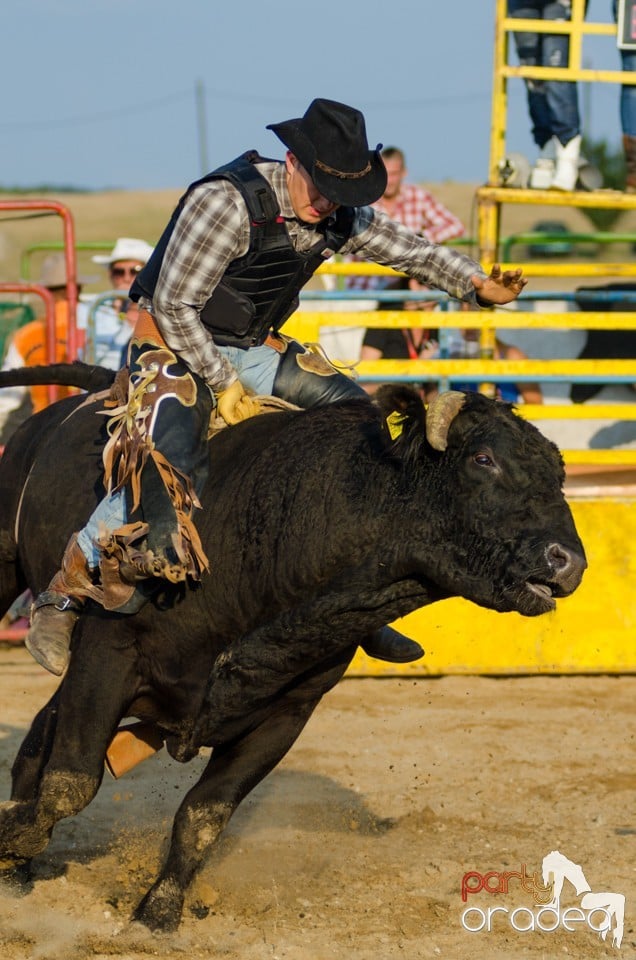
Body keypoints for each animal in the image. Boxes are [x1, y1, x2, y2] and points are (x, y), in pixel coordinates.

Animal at [0, 370, 588, 928]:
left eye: (558, 476)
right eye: (483, 459)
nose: (568, 562)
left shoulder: (287, 713)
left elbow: (203, 816)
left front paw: (158, 913)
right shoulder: (108, 656)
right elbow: (72, 782)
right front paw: (14, 840)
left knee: (41, 731)